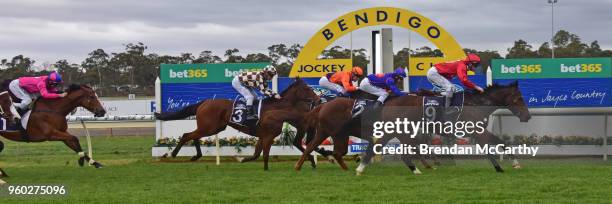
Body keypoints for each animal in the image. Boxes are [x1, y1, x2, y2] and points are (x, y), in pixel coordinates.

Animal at [155, 78, 322, 171]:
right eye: (307, 88)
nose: (318, 99)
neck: (276, 108)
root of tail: (204, 102)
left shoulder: (262, 135)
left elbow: (257, 154)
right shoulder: (267, 135)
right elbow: (263, 154)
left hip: (213, 128)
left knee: (193, 136)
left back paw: (196, 155)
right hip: (209, 127)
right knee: (186, 135)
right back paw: (173, 154)